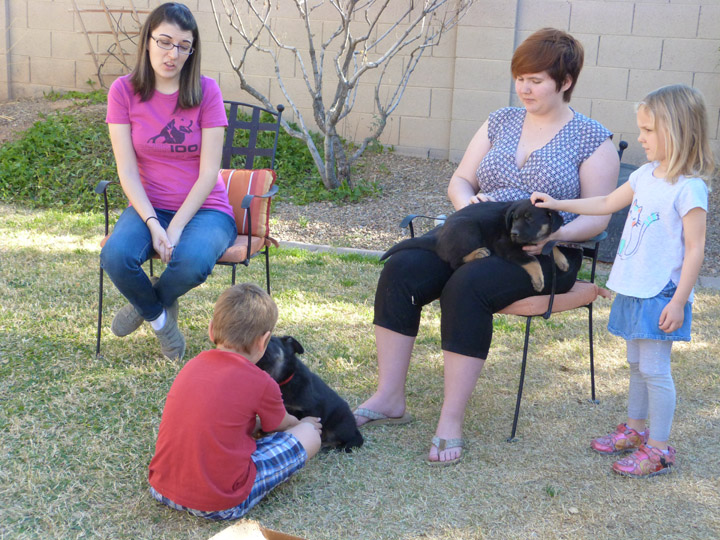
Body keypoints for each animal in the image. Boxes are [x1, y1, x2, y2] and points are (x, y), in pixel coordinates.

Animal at [380, 197, 572, 292]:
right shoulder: (505, 245)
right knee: (454, 261)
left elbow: (551, 244)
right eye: (515, 219)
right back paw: (478, 253)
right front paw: (539, 279)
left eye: (530, 219)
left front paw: (562, 260)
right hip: (468, 228)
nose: (514, 233)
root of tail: (438, 238)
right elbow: (532, 260)